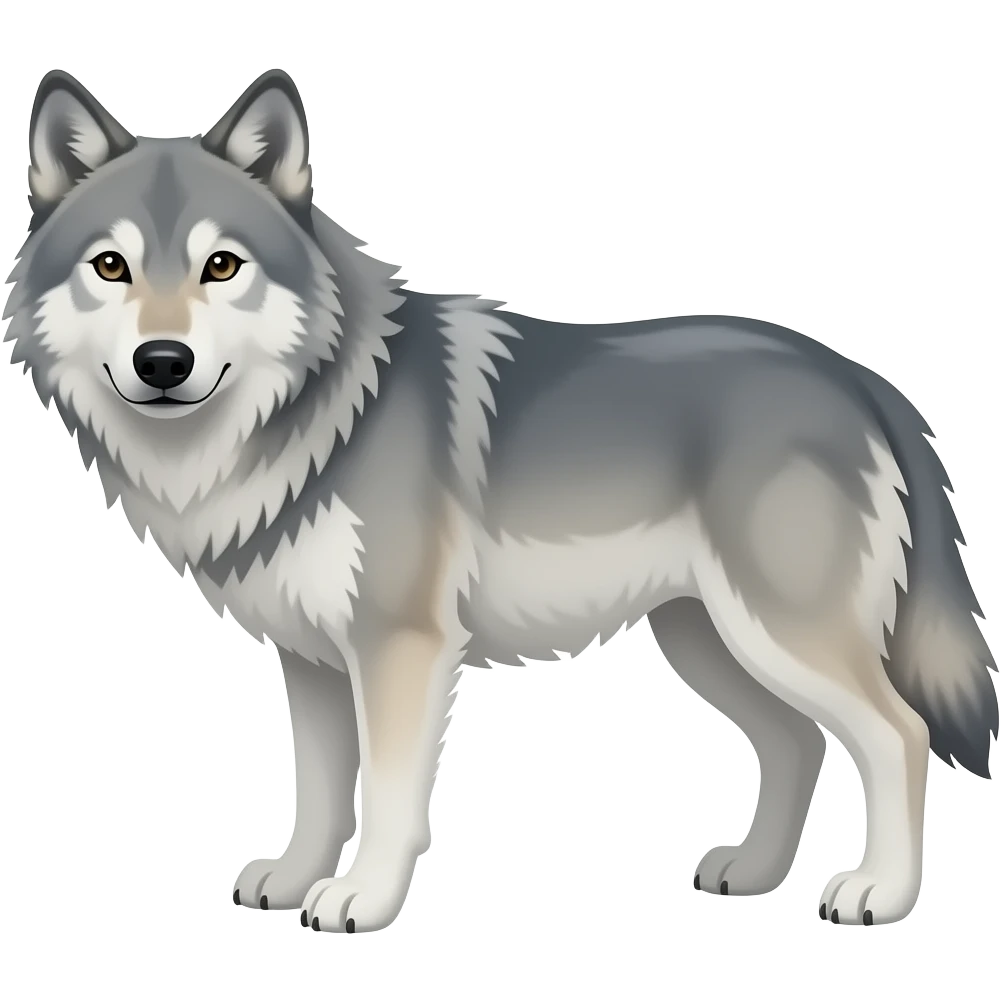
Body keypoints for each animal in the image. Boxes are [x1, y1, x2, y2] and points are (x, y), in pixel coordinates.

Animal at [4, 66, 998, 933]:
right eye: (110, 267)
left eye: (220, 266)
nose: (162, 362)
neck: (321, 413)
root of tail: (856, 376)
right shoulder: (312, 659)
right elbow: (317, 791)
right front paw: (291, 881)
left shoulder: (400, 647)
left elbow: (387, 794)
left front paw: (360, 899)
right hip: (707, 639)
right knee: (796, 741)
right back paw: (752, 871)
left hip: (776, 634)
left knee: (897, 735)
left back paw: (878, 893)